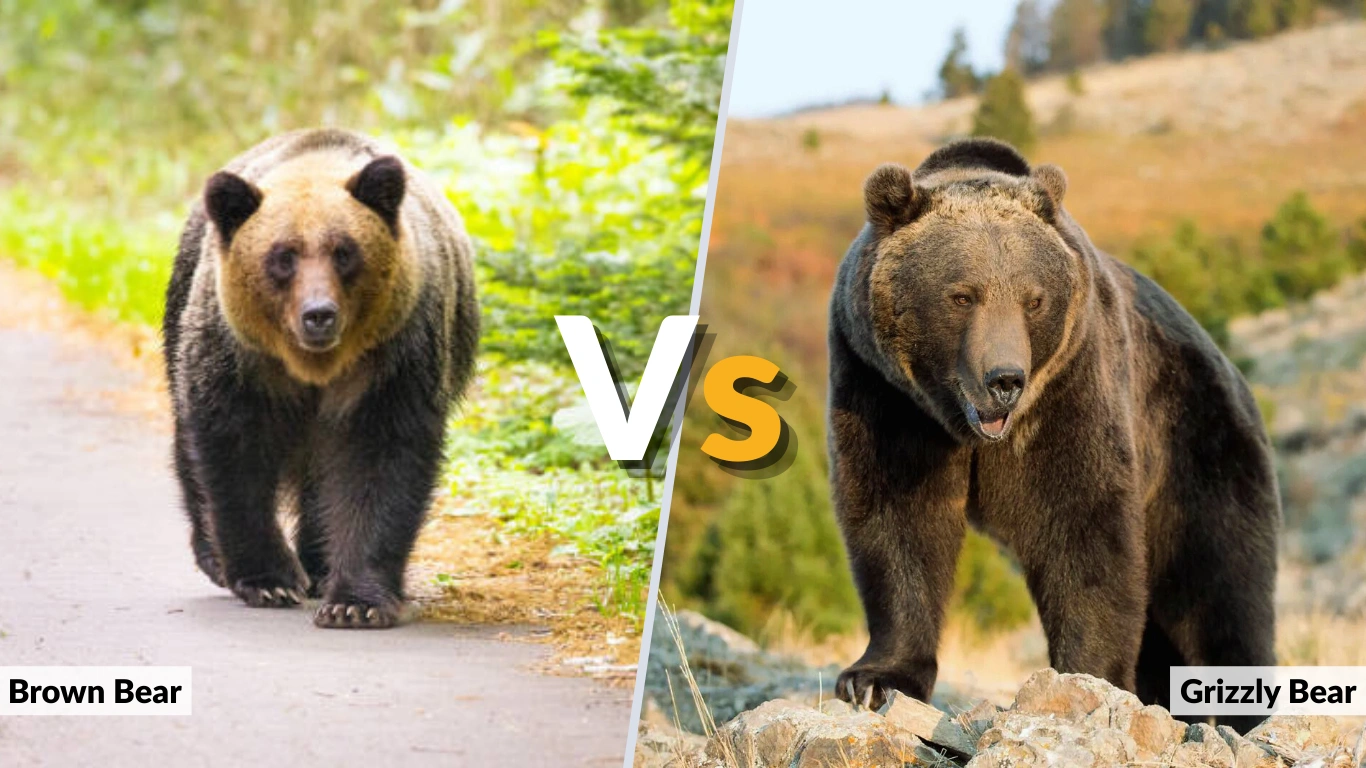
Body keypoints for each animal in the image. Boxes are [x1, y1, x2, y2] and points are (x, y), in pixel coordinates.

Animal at [163, 128, 479, 628]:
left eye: (345, 252)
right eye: (283, 256)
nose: (319, 315)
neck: (314, 366)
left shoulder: (392, 362)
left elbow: (380, 463)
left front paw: (356, 602)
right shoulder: (239, 358)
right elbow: (234, 452)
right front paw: (269, 581)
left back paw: (318, 563)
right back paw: (215, 555)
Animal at [826, 138, 1279, 732]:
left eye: (1033, 298)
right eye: (962, 295)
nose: (1005, 380)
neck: (965, 428)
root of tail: (1236, 374)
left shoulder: (1070, 385)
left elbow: (1082, 524)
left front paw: (1089, 681)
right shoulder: (884, 393)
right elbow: (897, 517)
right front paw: (874, 679)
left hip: (1198, 444)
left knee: (1221, 582)